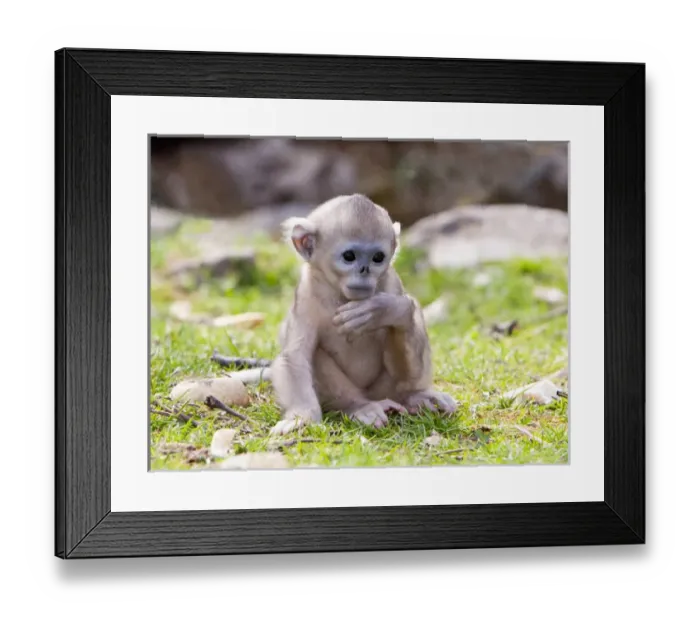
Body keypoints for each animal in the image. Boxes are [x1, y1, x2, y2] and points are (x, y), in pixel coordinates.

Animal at [268, 193, 457, 436]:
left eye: (377, 257)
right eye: (349, 256)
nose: (364, 271)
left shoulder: (392, 283)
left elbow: (404, 315)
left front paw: (382, 310)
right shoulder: (306, 295)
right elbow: (295, 357)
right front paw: (302, 416)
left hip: (384, 389)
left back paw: (414, 396)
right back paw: (360, 407)